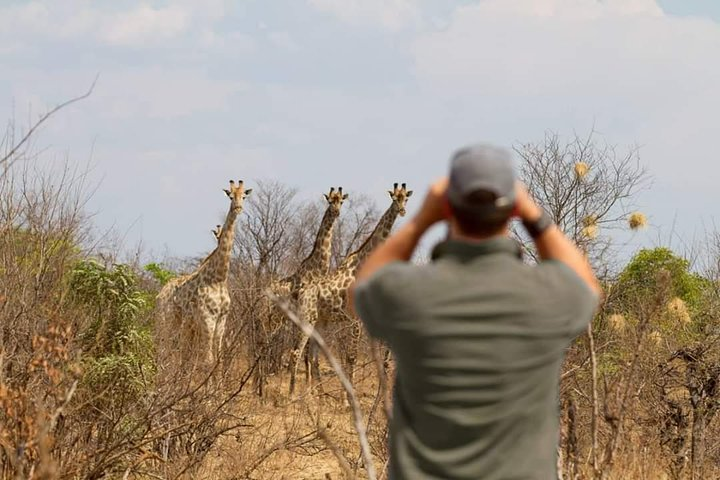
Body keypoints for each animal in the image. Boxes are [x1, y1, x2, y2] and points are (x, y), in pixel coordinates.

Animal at [156, 178, 252, 370]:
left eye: (244, 196)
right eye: (230, 196)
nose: (238, 208)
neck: (219, 278)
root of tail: (160, 293)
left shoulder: (222, 320)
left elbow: (219, 359)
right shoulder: (208, 319)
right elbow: (208, 360)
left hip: (185, 324)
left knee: (182, 352)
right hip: (166, 318)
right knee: (164, 347)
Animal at [294, 183, 414, 390]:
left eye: (406, 198)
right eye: (394, 198)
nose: (402, 210)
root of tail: (303, 290)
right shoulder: (355, 319)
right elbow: (352, 357)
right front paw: (348, 395)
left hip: (320, 321)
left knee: (311, 355)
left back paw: (315, 394)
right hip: (306, 317)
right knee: (297, 353)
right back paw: (292, 394)